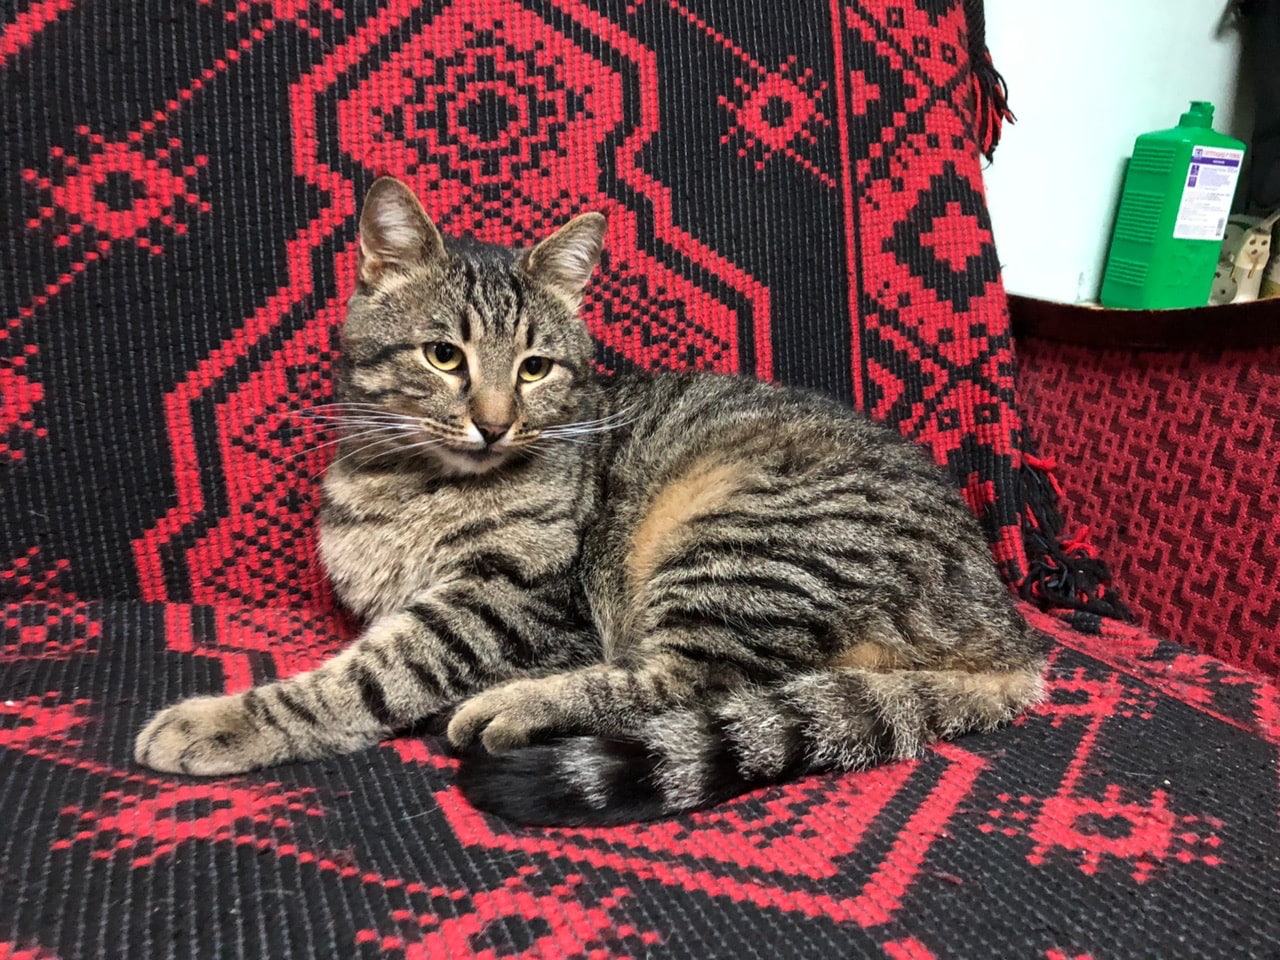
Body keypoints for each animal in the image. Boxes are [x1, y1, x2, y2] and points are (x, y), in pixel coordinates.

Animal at [134, 176, 1045, 826]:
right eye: (443, 356)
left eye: (535, 368)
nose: (494, 422)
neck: (408, 483)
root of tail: (1013, 641)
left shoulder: (513, 601)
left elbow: (376, 672)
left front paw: (224, 722)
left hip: (740, 544)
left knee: (691, 683)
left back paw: (509, 707)